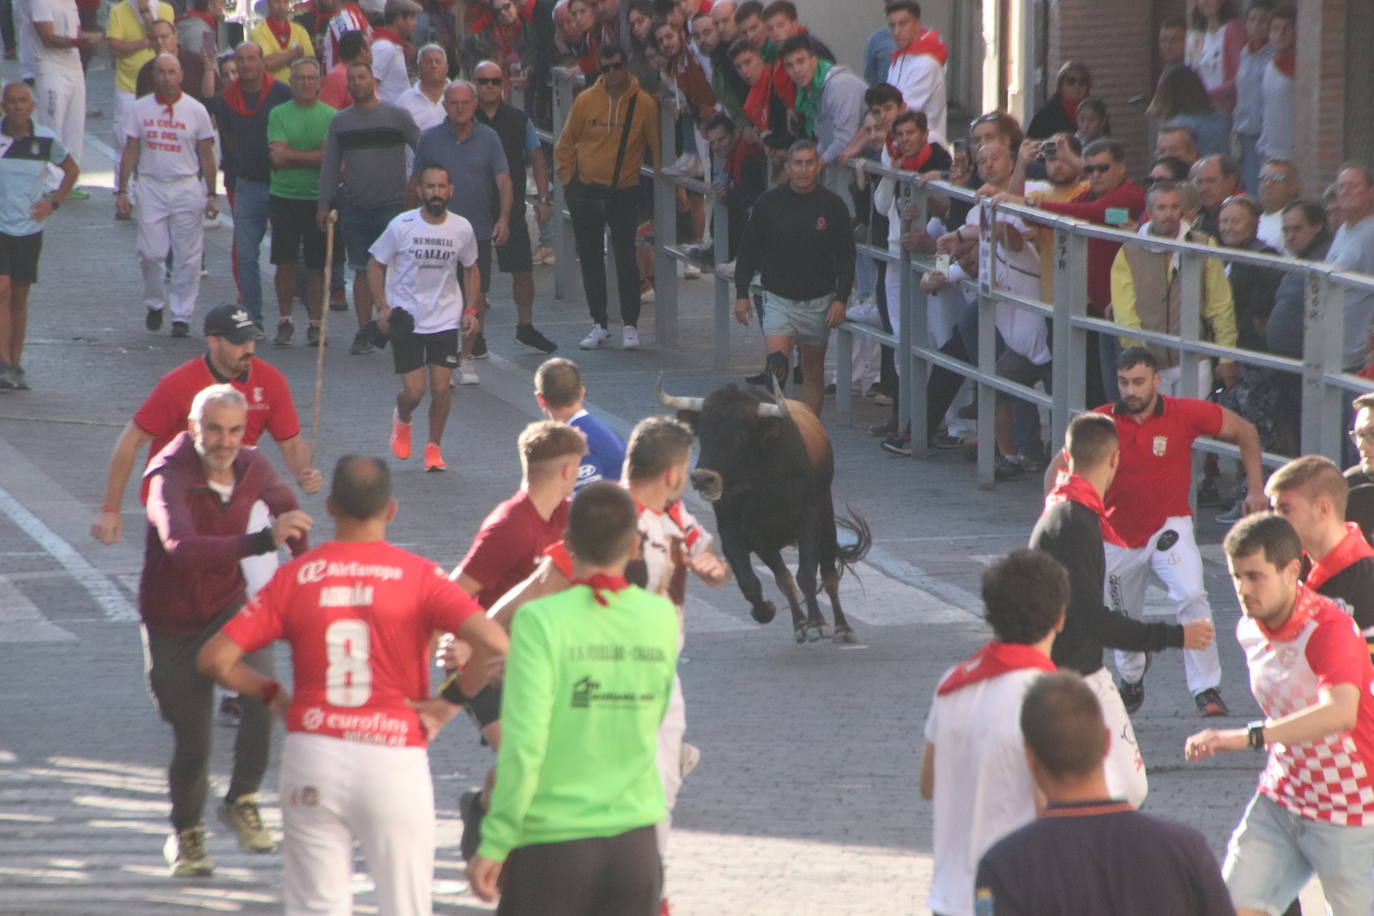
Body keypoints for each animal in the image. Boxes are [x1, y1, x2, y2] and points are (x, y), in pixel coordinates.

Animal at [659, 379, 873, 645]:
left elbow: (807, 574)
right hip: (768, 546)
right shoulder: (735, 536)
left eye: (741, 435)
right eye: (703, 432)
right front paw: (766, 611)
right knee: (784, 579)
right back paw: (799, 624)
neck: (760, 484)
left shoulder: (808, 522)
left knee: (829, 575)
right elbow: (750, 582)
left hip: (826, 519)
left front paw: (817, 624)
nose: (702, 479)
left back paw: (842, 628)